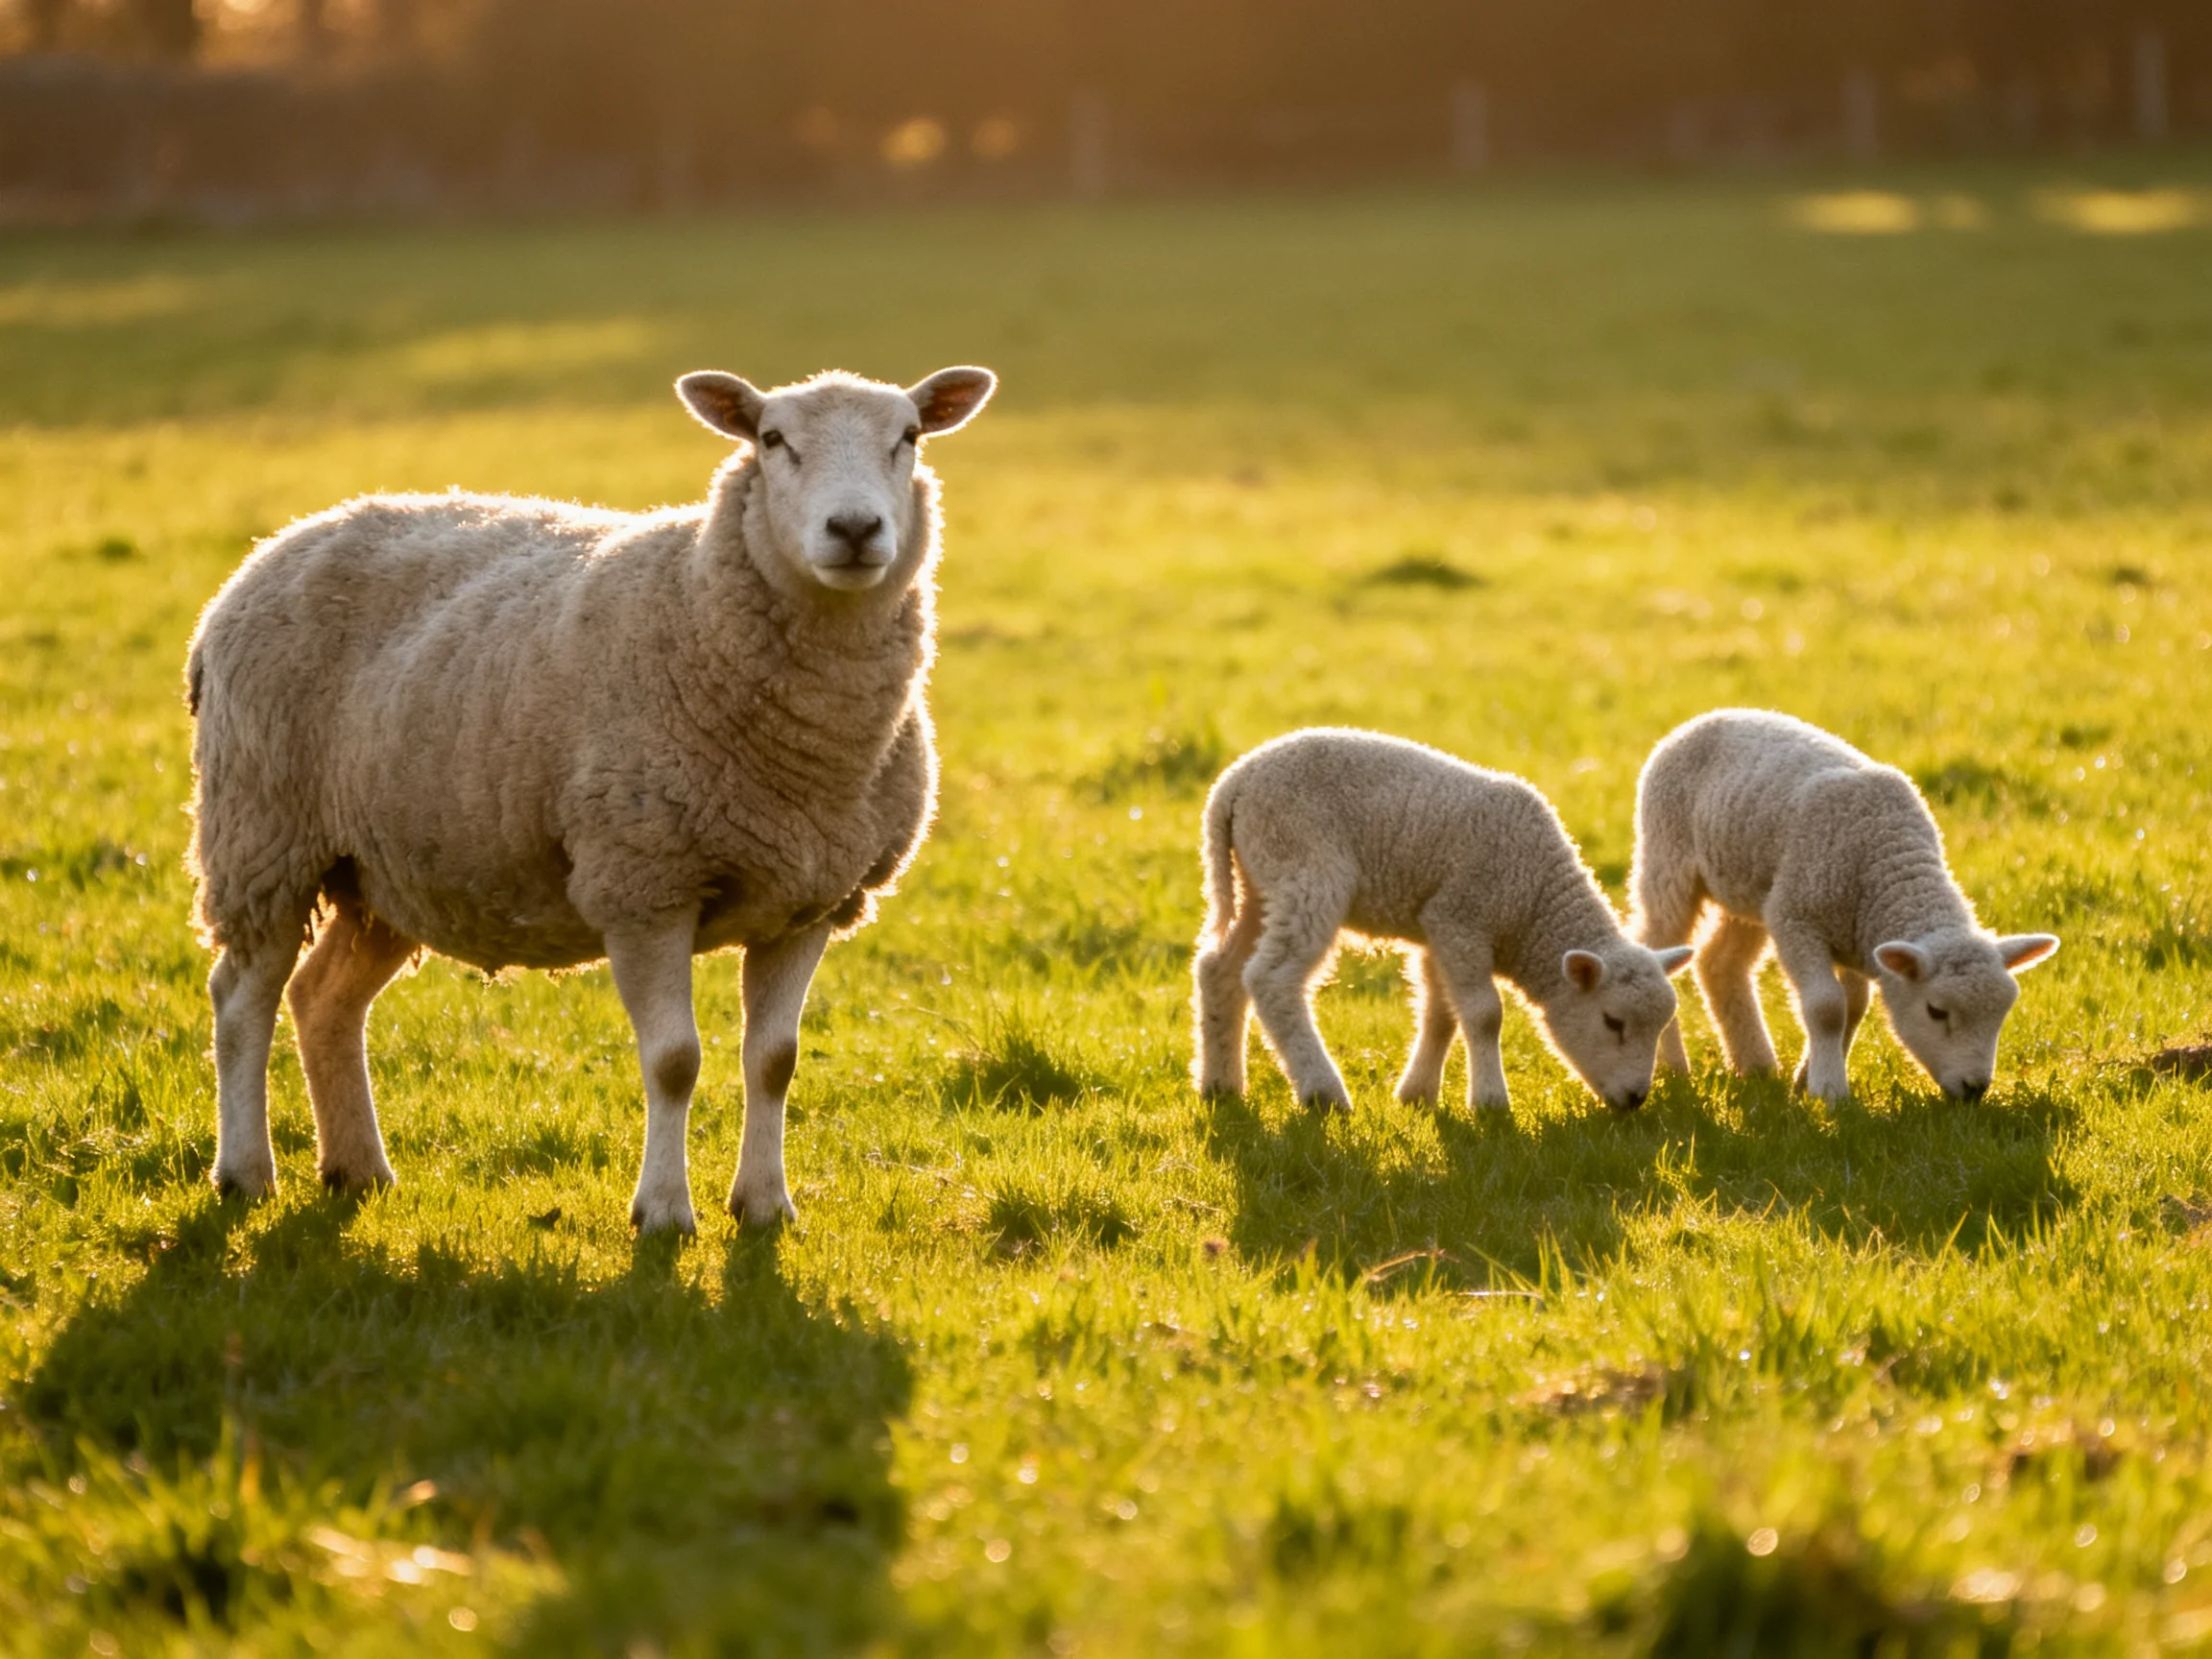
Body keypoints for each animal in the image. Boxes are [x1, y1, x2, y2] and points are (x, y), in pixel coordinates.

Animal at [185, 364, 997, 1233]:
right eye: (773, 440)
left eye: (908, 436)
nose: (853, 528)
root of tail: (274, 549)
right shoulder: (642, 884)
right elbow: (674, 1061)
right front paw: (665, 1212)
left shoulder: (807, 900)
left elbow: (774, 1061)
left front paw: (765, 1206)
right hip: (261, 830)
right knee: (243, 996)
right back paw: (245, 1172)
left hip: (385, 867)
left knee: (323, 998)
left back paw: (358, 1169)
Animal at [1191, 729, 1696, 1115]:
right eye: (1613, 1022)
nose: (1636, 1099)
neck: (1532, 905)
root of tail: (1233, 784)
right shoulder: (1462, 919)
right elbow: (1484, 1013)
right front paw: (1490, 1104)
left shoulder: (1437, 929)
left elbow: (1441, 1014)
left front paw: (1417, 1095)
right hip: (1304, 867)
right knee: (1271, 978)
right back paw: (1323, 1091)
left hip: (1260, 880)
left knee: (1219, 968)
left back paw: (1220, 1085)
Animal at [1629, 708, 2059, 1102]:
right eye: (1936, 1011)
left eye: (2001, 1014)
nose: (1974, 1088)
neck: (1887, 863)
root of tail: (1710, 715)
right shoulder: (1797, 918)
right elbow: (1827, 1007)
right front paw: (1829, 1091)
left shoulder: (1855, 936)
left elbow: (1853, 1007)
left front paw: (1806, 1078)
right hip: (1668, 860)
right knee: (1656, 946)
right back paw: (1672, 1065)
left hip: (1749, 889)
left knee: (1720, 963)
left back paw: (1755, 1065)